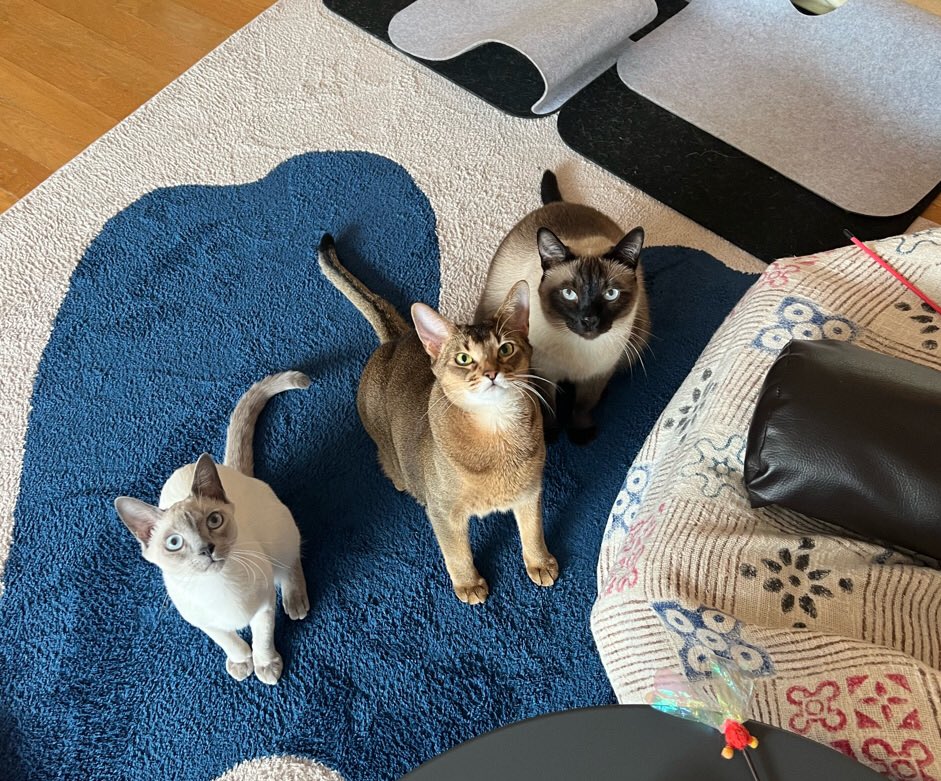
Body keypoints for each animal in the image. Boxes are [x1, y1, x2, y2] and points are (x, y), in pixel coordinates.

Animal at [115, 371, 310, 685]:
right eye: (174, 543)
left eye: (213, 521)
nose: (206, 549)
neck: (219, 586)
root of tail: (229, 469)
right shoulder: (203, 622)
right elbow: (228, 641)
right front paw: (241, 663)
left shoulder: (265, 604)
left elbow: (263, 638)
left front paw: (266, 665)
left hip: (280, 535)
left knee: (291, 560)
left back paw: (296, 602)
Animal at [317, 234, 557, 605]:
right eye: (463, 358)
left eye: (505, 349)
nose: (491, 373)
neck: (497, 431)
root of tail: (395, 341)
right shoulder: (443, 512)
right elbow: (456, 552)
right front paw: (468, 584)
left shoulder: (530, 491)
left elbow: (533, 530)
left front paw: (539, 562)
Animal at [476, 170, 651, 444]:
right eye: (570, 293)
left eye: (610, 294)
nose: (589, 320)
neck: (579, 352)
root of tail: (561, 204)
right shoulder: (544, 374)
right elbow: (549, 407)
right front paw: (550, 434)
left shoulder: (596, 376)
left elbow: (584, 406)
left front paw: (581, 434)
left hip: (636, 340)